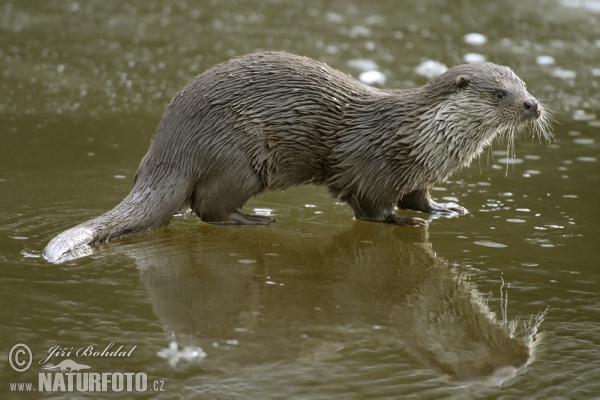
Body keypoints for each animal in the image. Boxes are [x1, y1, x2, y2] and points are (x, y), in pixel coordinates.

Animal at [43, 50, 552, 262]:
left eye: (525, 84)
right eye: (500, 93)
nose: (533, 105)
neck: (422, 137)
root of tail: (168, 147)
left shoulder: (417, 173)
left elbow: (419, 197)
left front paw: (443, 209)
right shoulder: (374, 167)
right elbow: (371, 208)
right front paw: (401, 223)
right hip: (240, 155)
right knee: (208, 208)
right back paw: (255, 219)